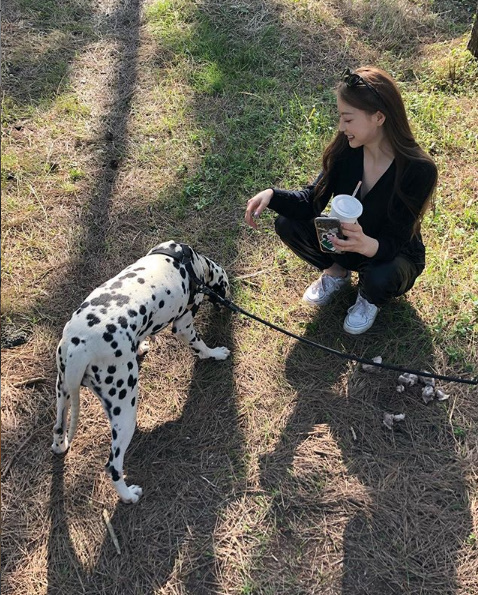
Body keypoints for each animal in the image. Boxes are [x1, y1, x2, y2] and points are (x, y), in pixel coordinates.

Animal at [51, 241, 231, 502]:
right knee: (113, 466)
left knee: (58, 429)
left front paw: (141, 346)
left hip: (62, 392)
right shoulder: (183, 325)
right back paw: (129, 495)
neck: (189, 262)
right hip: (125, 411)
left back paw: (61, 445)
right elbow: (202, 347)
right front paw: (216, 353)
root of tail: (78, 348)